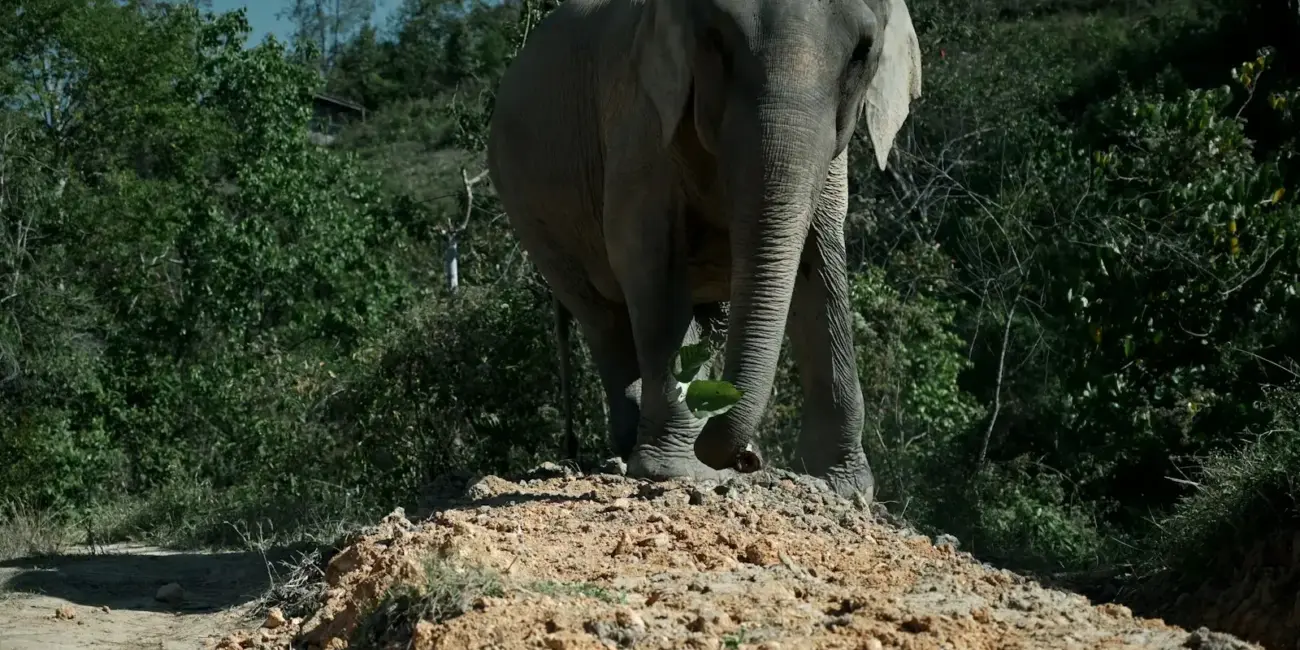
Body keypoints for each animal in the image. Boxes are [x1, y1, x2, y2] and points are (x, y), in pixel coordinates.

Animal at [486, 0, 922, 499]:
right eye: (716, 39)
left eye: (861, 53)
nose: (745, 461)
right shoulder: (642, 116)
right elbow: (649, 258)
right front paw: (680, 473)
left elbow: (820, 265)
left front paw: (845, 490)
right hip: (533, 214)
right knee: (603, 318)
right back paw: (632, 448)